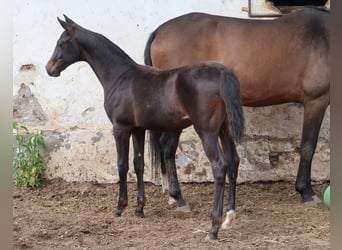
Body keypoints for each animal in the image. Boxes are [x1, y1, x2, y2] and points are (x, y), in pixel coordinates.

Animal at [45, 15, 244, 240]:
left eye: (62, 43)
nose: (49, 69)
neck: (121, 76)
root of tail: (222, 73)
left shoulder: (120, 128)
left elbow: (122, 165)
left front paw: (119, 208)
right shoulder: (138, 129)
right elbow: (139, 164)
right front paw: (139, 209)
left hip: (207, 132)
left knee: (220, 166)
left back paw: (213, 228)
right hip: (224, 130)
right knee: (233, 161)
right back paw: (229, 217)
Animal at [144, 6, 328, 209]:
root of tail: (160, 31)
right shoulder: (316, 100)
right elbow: (308, 147)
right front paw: (306, 192)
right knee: (168, 146)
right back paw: (177, 197)